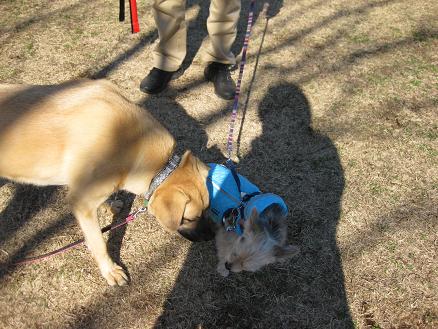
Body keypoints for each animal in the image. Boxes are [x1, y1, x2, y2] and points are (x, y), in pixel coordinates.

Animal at [0, 79, 212, 284]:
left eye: (207, 209)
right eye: (188, 218)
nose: (209, 237)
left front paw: (109, 205)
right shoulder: (81, 202)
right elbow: (98, 242)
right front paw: (110, 271)